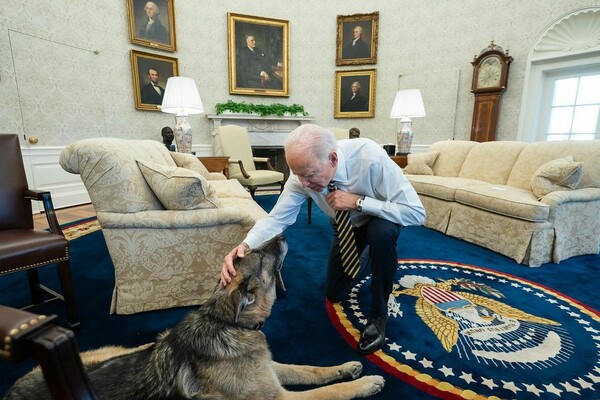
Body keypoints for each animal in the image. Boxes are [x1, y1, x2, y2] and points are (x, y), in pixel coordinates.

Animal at [5, 236, 384, 398]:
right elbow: (330, 393)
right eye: (261, 255)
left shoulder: (270, 368)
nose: (283, 234)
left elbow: (308, 369)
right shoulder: (278, 397)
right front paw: (363, 384)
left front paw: (345, 368)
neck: (227, 323)